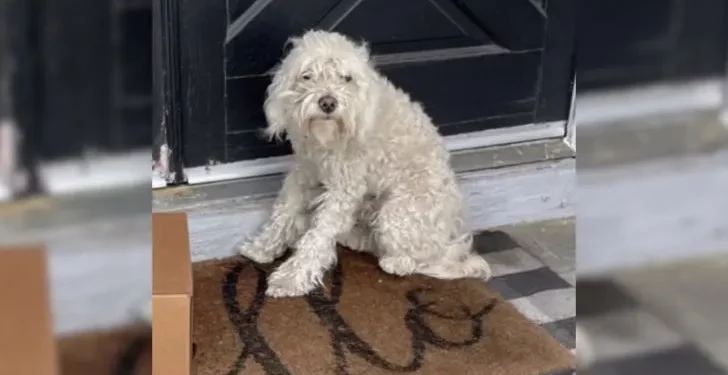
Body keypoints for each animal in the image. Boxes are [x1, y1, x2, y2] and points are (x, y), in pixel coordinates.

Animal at [239, 30, 494, 300]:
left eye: (346, 78)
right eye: (307, 75)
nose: (328, 102)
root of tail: (447, 238)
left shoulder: (344, 189)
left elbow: (318, 236)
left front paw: (291, 278)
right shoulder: (305, 171)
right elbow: (283, 212)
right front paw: (262, 247)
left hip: (396, 214)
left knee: (420, 259)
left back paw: (396, 262)